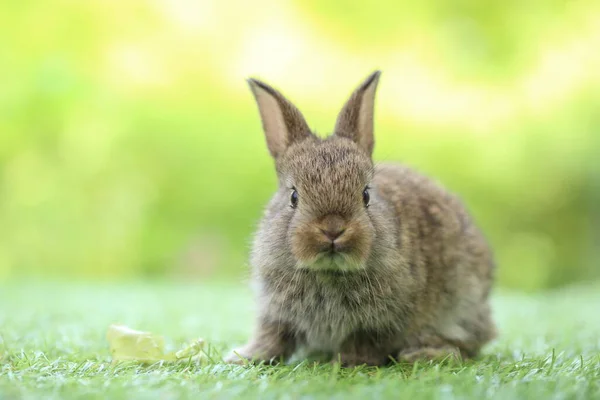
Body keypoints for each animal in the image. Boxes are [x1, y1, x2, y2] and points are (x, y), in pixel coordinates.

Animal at [225, 71, 496, 366]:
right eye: (293, 197)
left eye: (366, 195)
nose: (333, 229)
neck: (328, 272)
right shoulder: (275, 312)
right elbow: (272, 337)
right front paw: (244, 357)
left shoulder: (381, 322)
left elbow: (363, 343)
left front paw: (345, 362)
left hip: (462, 304)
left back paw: (426, 353)